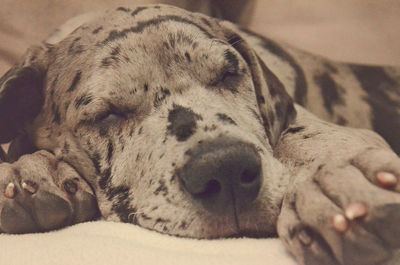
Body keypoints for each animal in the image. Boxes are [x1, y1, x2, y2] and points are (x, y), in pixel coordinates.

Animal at [0, 4, 400, 264]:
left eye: (228, 74)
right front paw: (29, 171)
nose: (226, 169)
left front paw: (331, 183)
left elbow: (298, 135)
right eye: (108, 113)